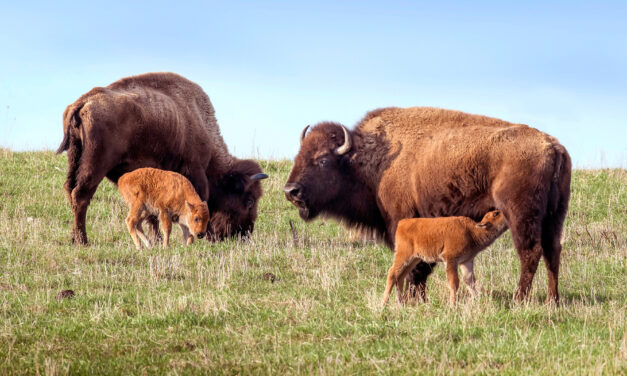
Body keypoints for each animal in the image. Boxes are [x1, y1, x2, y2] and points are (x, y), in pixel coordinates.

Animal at [55, 72, 268, 245]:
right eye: (249, 200)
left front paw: (156, 240)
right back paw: (82, 241)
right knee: (81, 195)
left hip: (75, 160)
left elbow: (152, 213)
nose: (244, 234)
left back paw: (74, 238)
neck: (197, 118)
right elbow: (198, 201)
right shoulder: (195, 170)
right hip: (95, 165)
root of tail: (82, 102)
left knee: (70, 191)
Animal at [382, 210, 510, 306]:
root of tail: (402, 223)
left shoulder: (466, 261)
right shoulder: (451, 260)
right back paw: (384, 304)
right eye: (496, 214)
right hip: (403, 256)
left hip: (414, 259)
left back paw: (400, 304)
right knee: (392, 273)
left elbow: (470, 281)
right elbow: (454, 282)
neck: (470, 231)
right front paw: (453, 305)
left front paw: (478, 300)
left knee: (400, 276)